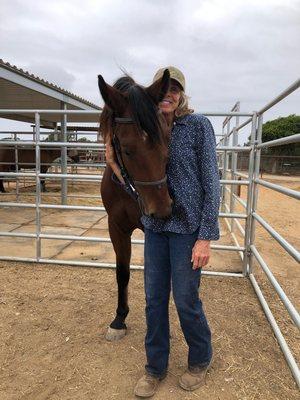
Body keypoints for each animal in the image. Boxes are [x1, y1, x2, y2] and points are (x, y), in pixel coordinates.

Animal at [98, 70, 173, 340]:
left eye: (167, 140)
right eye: (128, 149)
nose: (163, 210)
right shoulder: (116, 227)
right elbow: (123, 272)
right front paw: (119, 318)